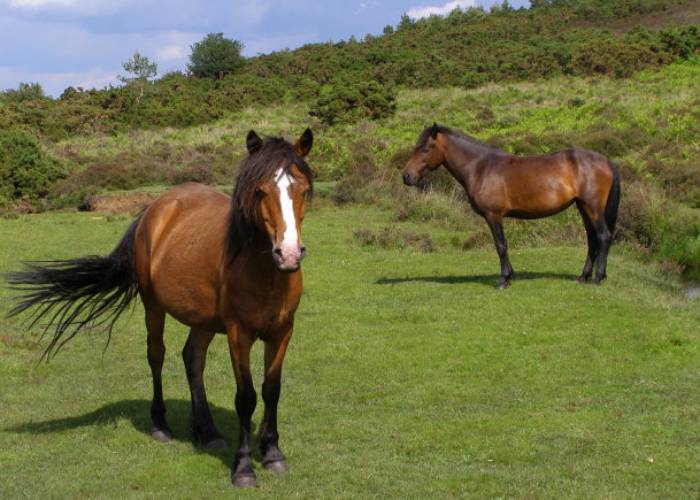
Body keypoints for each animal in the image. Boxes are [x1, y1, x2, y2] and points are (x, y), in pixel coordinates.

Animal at [7, 129, 314, 488]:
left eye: (303, 191)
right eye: (261, 190)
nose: (288, 254)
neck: (264, 271)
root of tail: (155, 208)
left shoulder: (282, 331)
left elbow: (271, 390)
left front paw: (273, 452)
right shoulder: (239, 335)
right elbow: (246, 397)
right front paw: (243, 468)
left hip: (203, 320)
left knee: (193, 360)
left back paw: (207, 432)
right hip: (153, 306)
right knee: (156, 355)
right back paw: (161, 426)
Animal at [402, 124, 620, 290]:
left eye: (425, 148)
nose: (406, 176)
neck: (481, 167)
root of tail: (606, 161)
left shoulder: (493, 215)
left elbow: (501, 246)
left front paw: (504, 279)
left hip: (593, 207)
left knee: (603, 237)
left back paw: (597, 278)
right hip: (583, 208)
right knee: (592, 240)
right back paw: (583, 276)